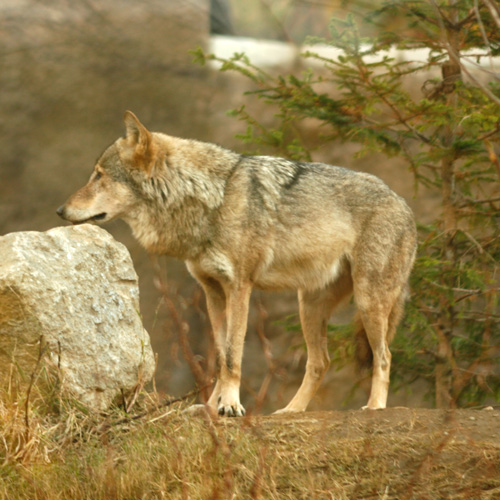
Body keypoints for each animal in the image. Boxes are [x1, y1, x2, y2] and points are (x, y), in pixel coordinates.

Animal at [56, 111, 418, 416]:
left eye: (99, 175)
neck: (210, 199)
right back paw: (291, 412)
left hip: (368, 301)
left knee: (384, 356)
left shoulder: (239, 288)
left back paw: (375, 407)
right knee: (321, 362)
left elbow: (232, 356)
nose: (60, 210)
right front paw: (210, 407)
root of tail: (405, 205)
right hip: (309, 306)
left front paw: (230, 406)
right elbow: (219, 356)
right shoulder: (212, 292)